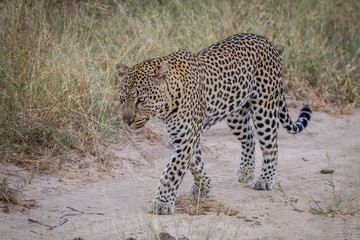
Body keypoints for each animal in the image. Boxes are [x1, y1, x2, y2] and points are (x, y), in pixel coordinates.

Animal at [116, 32, 312, 215]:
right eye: (122, 99)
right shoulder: (184, 136)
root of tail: (265, 39)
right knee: (249, 139)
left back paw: (264, 179)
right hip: (236, 117)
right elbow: (195, 163)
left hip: (264, 109)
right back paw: (246, 172)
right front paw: (203, 187)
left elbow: (172, 171)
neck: (168, 104)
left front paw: (161, 203)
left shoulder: (187, 138)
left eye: (141, 100)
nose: (126, 121)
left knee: (271, 146)